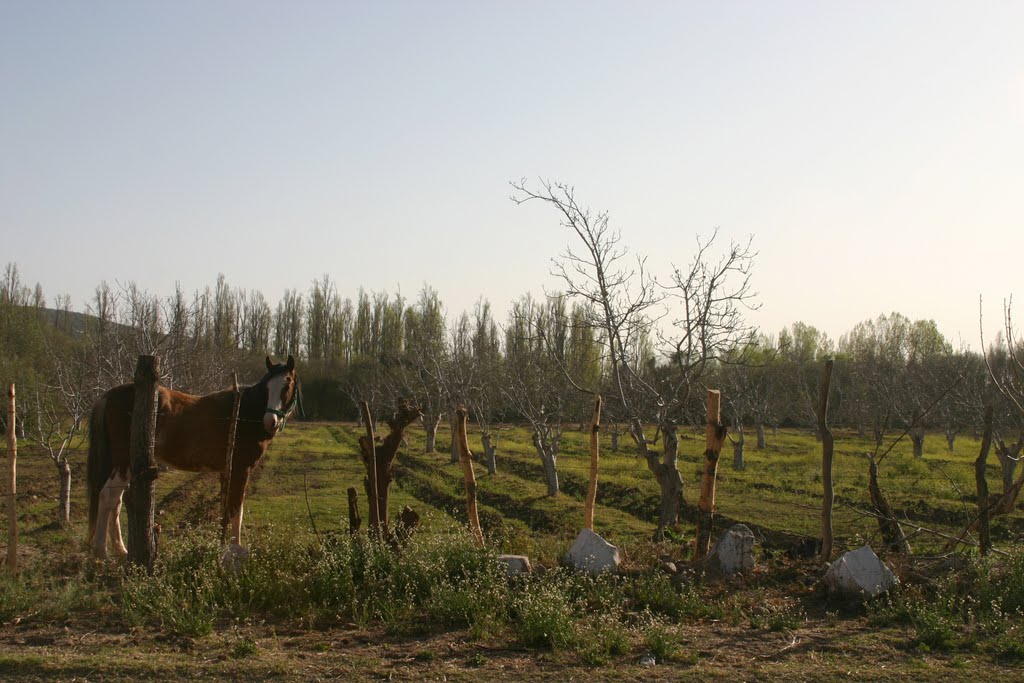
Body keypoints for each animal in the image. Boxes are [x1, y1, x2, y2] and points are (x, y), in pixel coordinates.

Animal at [86, 356, 299, 557]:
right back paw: (101, 551)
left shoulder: (226, 471)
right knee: (107, 496)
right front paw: (235, 548)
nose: (270, 421)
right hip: (124, 463)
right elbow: (236, 509)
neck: (242, 413)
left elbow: (225, 508)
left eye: (287, 384)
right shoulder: (241, 469)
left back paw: (120, 549)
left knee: (116, 501)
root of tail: (109, 395)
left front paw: (222, 545)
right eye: (267, 387)